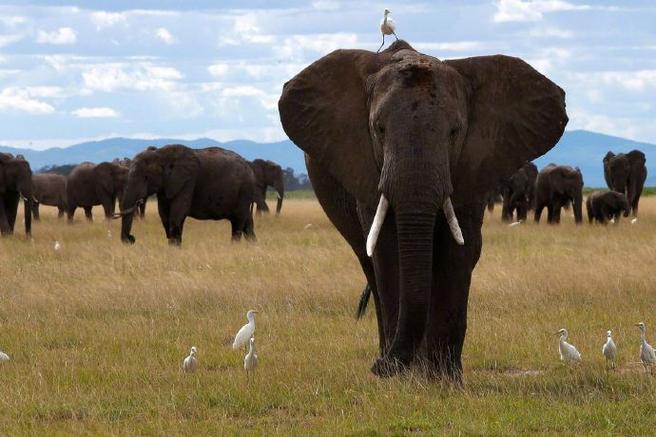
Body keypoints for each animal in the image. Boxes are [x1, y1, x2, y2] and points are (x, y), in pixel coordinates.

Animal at [119, 144, 258, 244]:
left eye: (146, 178)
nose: (132, 238)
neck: (160, 154)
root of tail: (249, 168)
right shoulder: (165, 187)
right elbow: (164, 216)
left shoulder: (188, 181)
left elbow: (177, 214)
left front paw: (175, 249)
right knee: (247, 223)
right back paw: (253, 247)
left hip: (244, 190)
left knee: (238, 222)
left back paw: (235, 246)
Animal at [280, 41, 568, 378]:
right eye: (378, 129)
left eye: (455, 131)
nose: (378, 367)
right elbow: (388, 251)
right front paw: (403, 378)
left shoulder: (473, 167)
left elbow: (457, 251)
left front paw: (443, 379)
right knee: (368, 262)